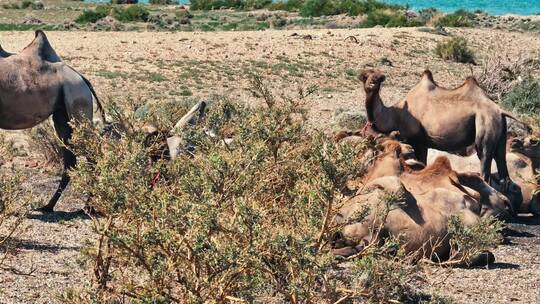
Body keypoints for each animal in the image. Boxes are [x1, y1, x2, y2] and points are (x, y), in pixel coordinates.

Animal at [0, 30, 104, 211]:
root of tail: (82, 78)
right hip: (62, 115)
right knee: (71, 160)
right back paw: (48, 205)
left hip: (78, 101)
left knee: (91, 151)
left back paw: (89, 206)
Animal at [358, 69, 524, 188]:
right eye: (365, 76)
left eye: (380, 78)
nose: (373, 83)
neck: (396, 114)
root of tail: (499, 110)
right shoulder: (422, 143)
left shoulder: (418, 141)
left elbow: (422, 164)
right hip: (501, 130)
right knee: (502, 164)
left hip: (486, 123)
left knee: (485, 160)